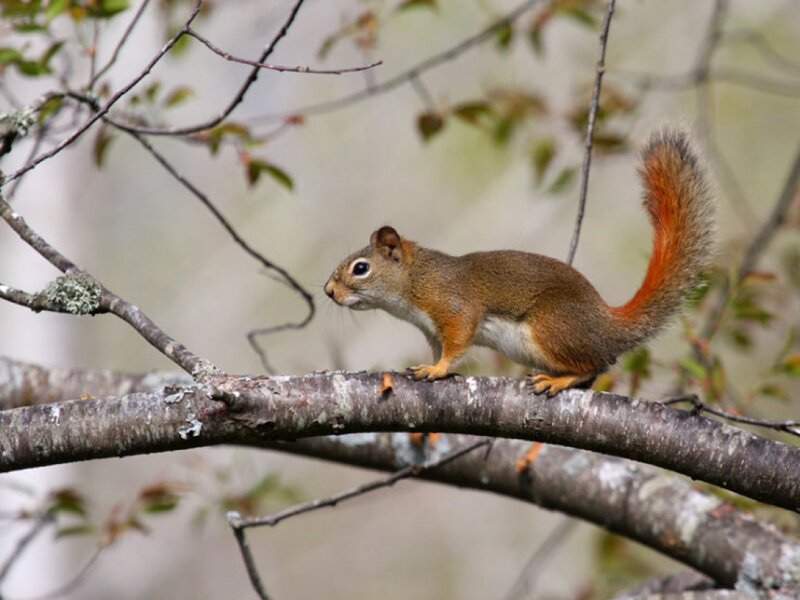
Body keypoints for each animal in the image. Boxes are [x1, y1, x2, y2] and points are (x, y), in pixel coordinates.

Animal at [324, 129, 715, 396]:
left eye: (361, 268)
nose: (328, 291)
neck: (415, 280)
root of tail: (607, 325)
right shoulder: (431, 329)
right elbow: (440, 348)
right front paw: (431, 365)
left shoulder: (453, 306)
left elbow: (457, 342)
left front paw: (437, 370)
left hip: (551, 327)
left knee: (592, 365)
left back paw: (557, 380)